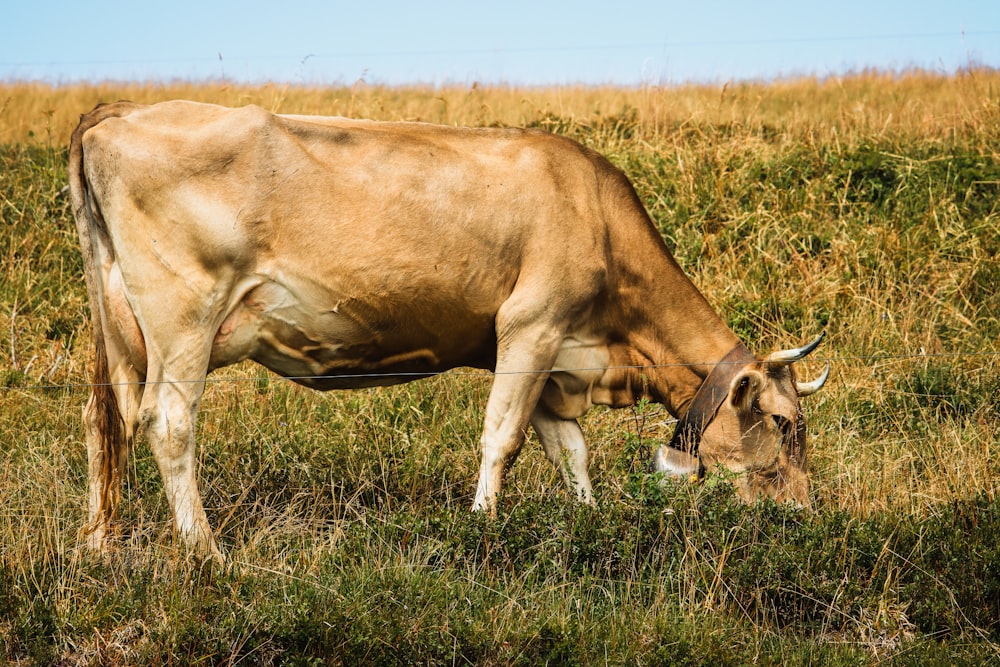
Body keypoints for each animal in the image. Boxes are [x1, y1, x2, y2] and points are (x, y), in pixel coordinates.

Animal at [68, 99, 828, 560]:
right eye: (784, 421)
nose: (801, 514)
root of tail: (113, 117)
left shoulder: (558, 359)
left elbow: (570, 451)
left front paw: (587, 520)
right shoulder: (532, 324)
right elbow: (504, 437)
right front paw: (483, 528)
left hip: (119, 326)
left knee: (104, 418)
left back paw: (101, 542)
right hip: (184, 314)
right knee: (167, 421)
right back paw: (207, 551)